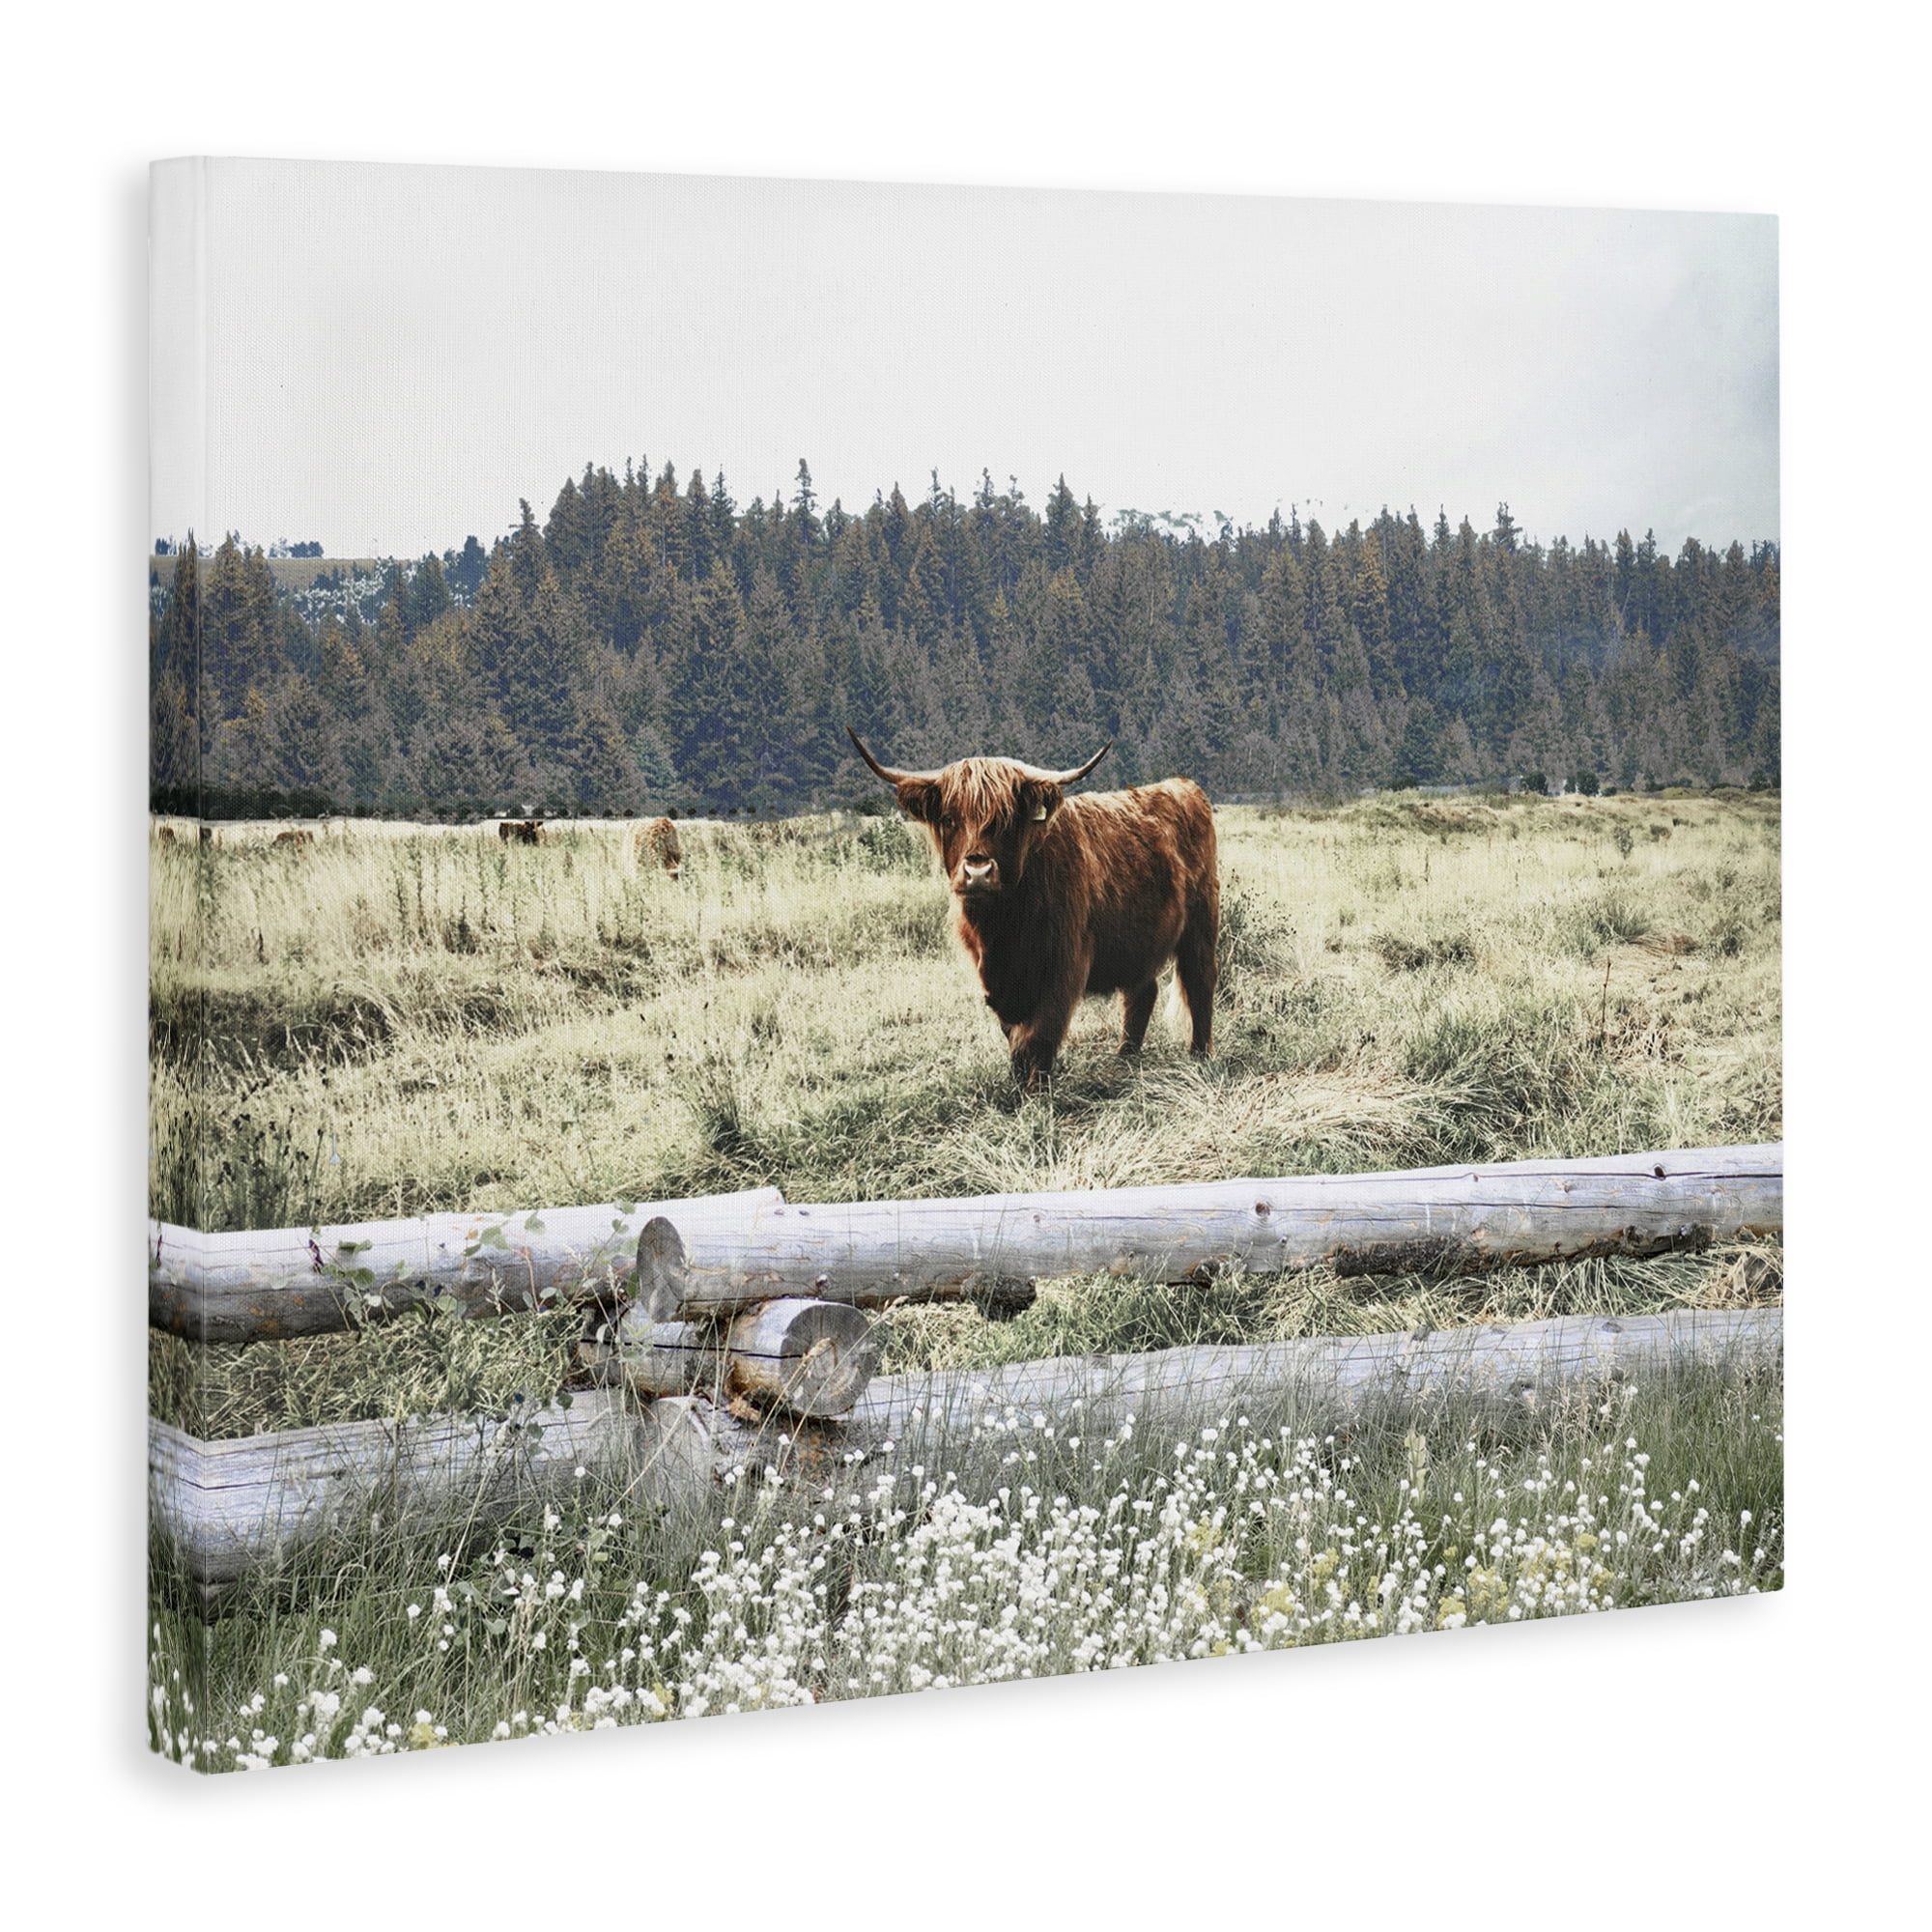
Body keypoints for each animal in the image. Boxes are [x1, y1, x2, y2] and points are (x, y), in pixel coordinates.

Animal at [847, 728, 1219, 1088]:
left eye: (1007, 819)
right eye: (950, 818)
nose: (978, 873)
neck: (1003, 928)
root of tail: (1183, 786)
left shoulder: (1063, 966)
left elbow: (1039, 1035)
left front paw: (1035, 1092)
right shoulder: (996, 980)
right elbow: (1013, 1036)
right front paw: (1016, 1083)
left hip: (1201, 923)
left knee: (1200, 982)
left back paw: (1199, 1056)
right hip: (1136, 939)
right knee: (1141, 991)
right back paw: (1124, 1058)